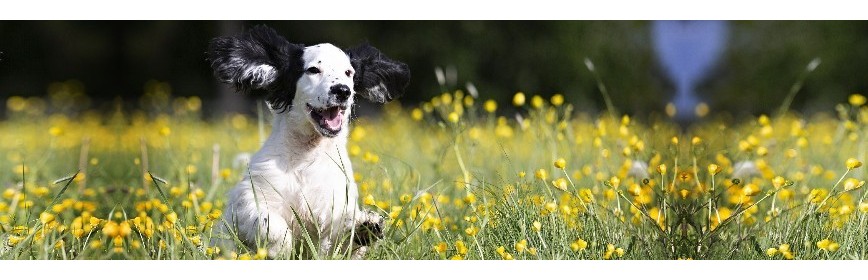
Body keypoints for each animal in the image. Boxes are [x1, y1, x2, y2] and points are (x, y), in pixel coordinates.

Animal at [209, 25, 412, 260]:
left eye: (349, 72)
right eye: (313, 70)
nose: (343, 90)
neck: (306, 156)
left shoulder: (334, 208)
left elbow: (341, 240)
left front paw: (365, 228)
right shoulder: (249, 199)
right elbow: (268, 221)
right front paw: (280, 248)